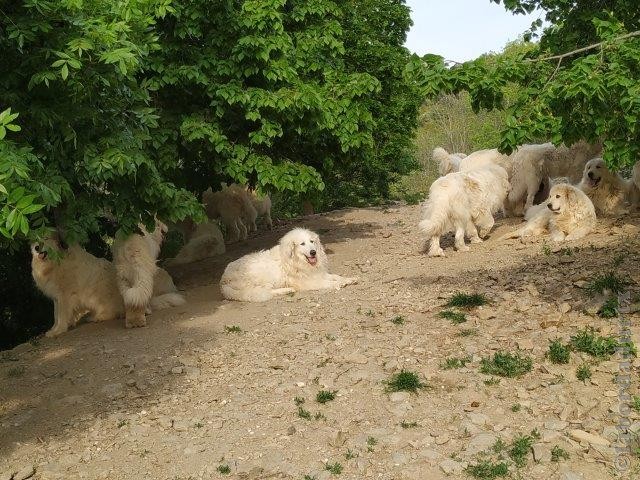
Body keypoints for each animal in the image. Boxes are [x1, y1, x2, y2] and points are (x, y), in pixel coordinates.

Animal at [221, 228, 358, 302]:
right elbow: (329, 282)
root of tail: (222, 281)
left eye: (312, 241)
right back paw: (287, 289)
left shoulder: (318, 274)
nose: (313, 252)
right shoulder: (309, 282)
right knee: (268, 291)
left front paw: (349, 279)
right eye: (302, 244)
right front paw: (340, 284)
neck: (298, 261)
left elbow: (335, 276)